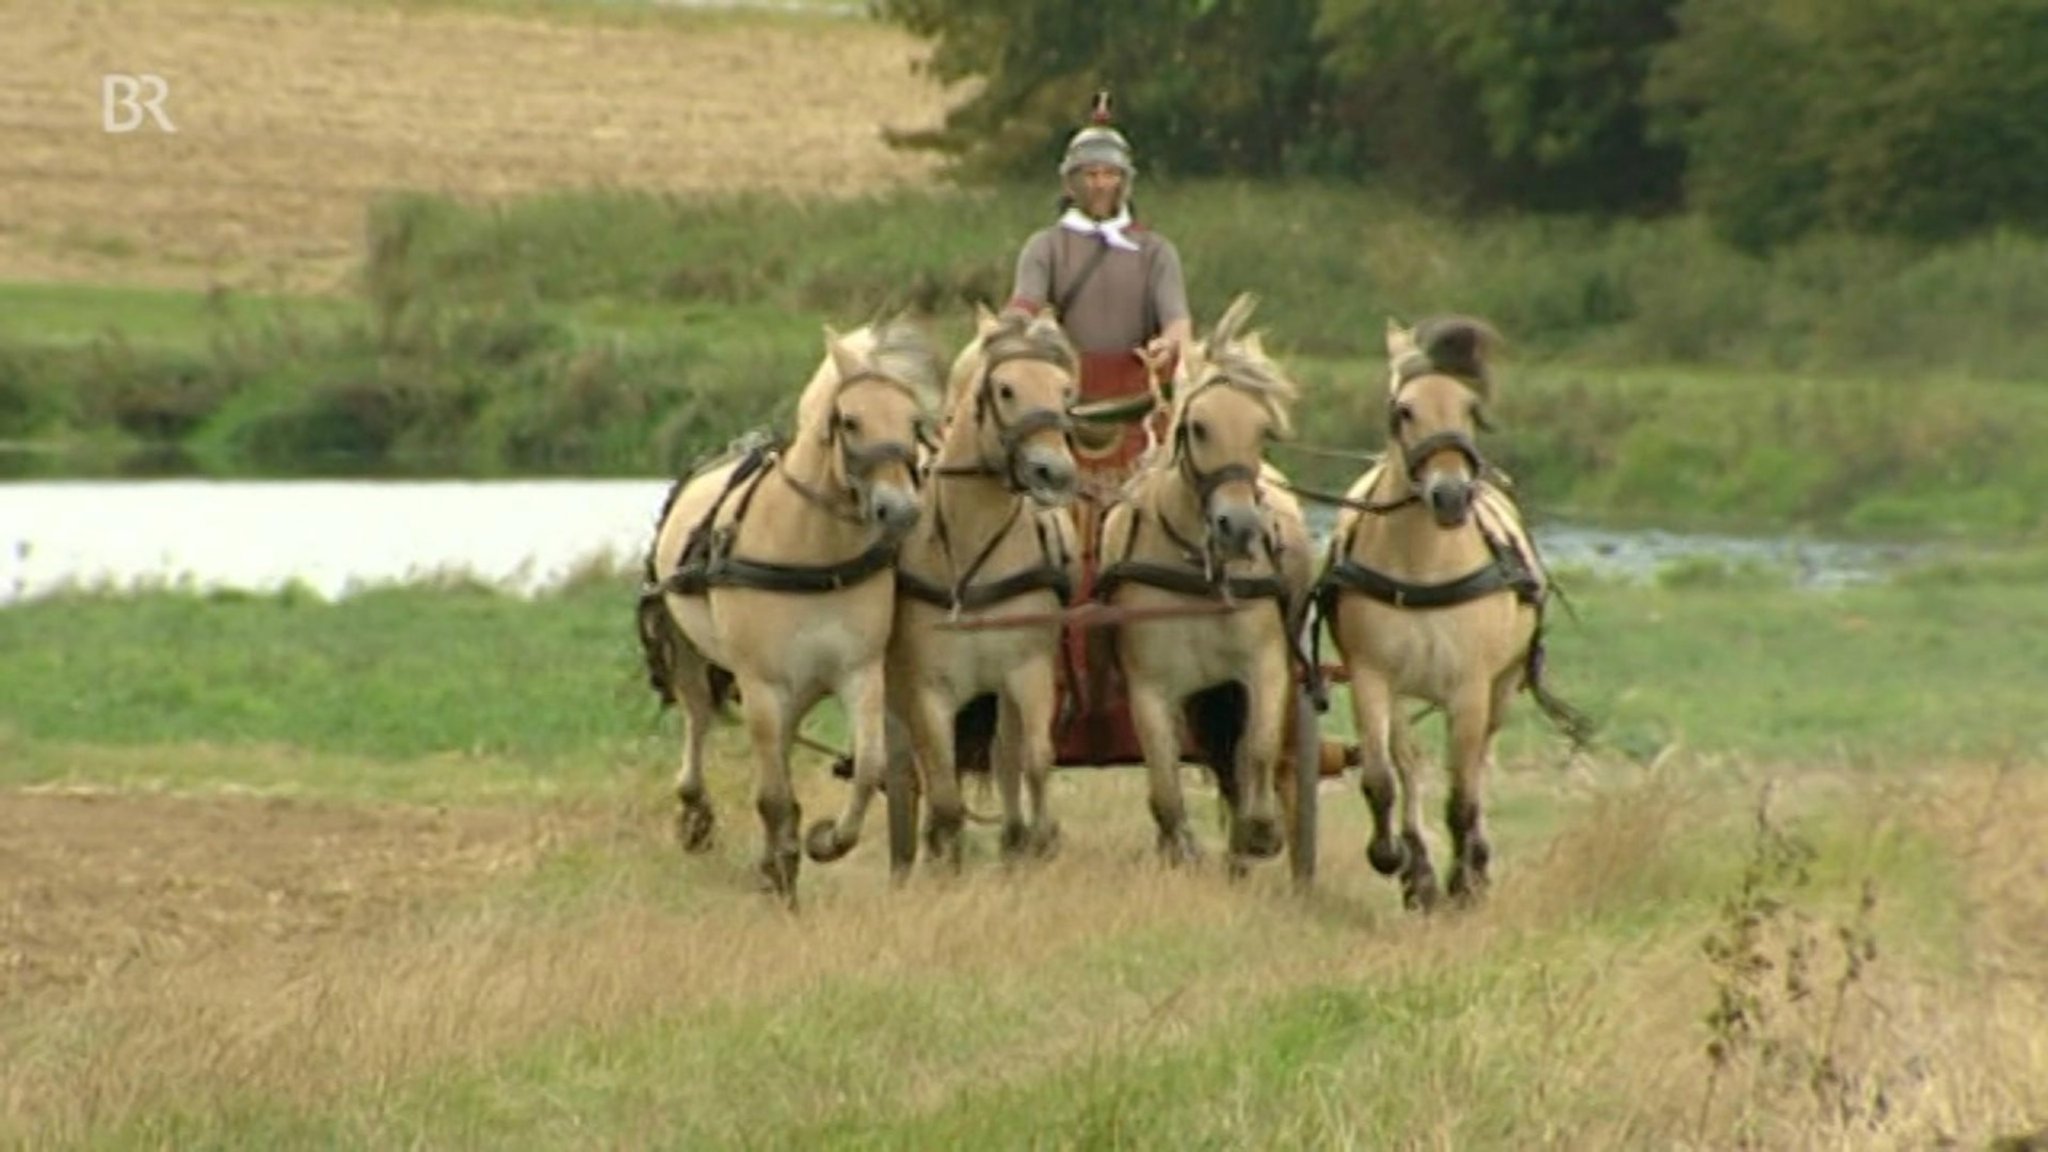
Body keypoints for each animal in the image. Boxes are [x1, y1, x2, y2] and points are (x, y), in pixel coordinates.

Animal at [630, 315, 942, 906]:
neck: (812, 548)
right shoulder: (761, 682)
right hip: (694, 655)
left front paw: (824, 840)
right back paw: (695, 814)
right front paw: (783, 872)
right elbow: (772, 795)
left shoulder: (858, 671)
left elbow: (867, 768)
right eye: (850, 420)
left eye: (914, 422)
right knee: (699, 719)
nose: (900, 511)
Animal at [892, 303, 1089, 860]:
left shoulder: (1028, 670)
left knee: (1007, 753)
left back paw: (1017, 839)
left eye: (1066, 392)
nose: (1054, 473)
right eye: (1005, 389)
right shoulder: (929, 688)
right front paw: (944, 852)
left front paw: (1040, 839)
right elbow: (941, 783)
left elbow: (1035, 759)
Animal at [1097, 291, 1318, 873]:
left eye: (1263, 430)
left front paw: (1260, 833)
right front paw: (1182, 847)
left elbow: (1257, 753)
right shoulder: (1150, 687)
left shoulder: (1264, 668)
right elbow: (1164, 784)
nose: (1239, 527)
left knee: (1255, 763)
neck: (1197, 569)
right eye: (1197, 426)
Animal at [1310, 313, 1597, 906]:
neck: (1422, 563)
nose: (1450, 497)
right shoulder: (1373, 677)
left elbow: (1463, 794)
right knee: (1411, 764)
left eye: (1470, 409)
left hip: (1501, 687)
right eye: (1403, 409)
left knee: (1480, 763)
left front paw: (1464, 881)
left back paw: (1477, 862)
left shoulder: (1469, 688)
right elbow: (1384, 776)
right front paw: (1399, 861)